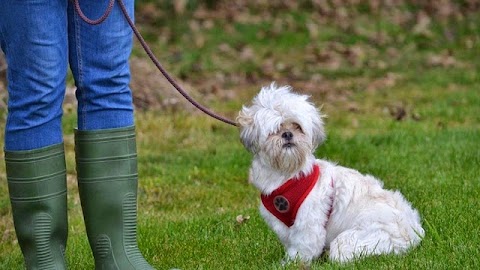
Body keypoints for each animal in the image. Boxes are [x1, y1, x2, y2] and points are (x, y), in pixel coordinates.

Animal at [236, 83, 424, 262]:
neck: (286, 173)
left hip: (353, 241)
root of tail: (413, 233)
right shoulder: (282, 225)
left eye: (297, 126)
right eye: (275, 129)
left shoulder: (308, 223)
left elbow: (302, 249)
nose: (287, 134)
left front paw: (291, 263)